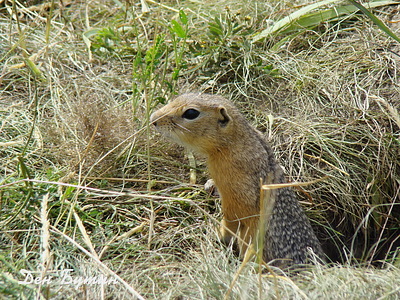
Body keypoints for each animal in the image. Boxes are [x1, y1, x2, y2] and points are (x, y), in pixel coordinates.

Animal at [151, 93, 324, 264]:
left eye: (191, 113)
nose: (153, 119)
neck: (234, 142)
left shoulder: (233, 196)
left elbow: (230, 221)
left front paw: (216, 232)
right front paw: (209, 185)